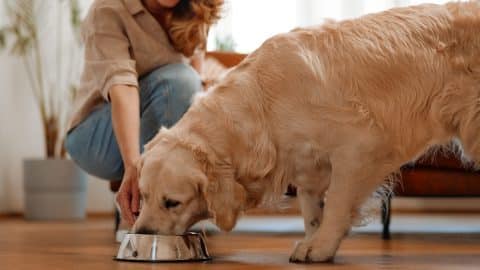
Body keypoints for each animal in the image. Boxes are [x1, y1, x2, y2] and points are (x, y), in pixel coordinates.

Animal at [133, 1, 480, 264]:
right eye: (144, 196)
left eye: (172, 202)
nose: (141, 234)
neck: (263, 105)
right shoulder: (307, 164)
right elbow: (313, 209)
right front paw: (314, 239)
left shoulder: (358, 147)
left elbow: (337, 201)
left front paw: (322, 246)